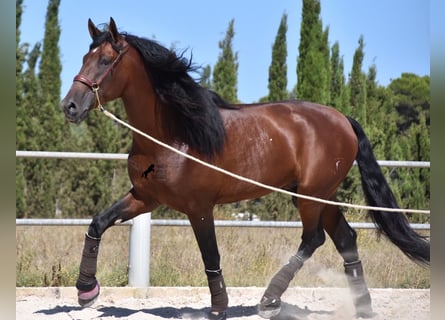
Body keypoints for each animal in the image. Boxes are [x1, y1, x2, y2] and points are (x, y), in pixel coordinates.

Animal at [60, 18, 428, 318]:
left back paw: (269, 300)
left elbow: (211, 257)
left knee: (314, 238)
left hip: (310, 196)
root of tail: (343, 120)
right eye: (84, 58)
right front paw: (86, 291)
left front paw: (218, 309)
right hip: (322, 196)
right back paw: (362, 307)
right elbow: (98, 223)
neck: (173, 134)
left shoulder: (199, 207)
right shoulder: (145, 197)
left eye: (105, 60)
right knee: (346, 240)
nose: (70, 106)